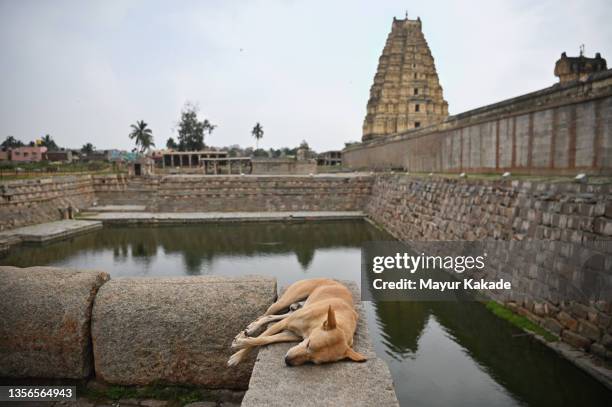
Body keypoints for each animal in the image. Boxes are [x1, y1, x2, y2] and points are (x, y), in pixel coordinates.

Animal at [227, 278, 366, 368]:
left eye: (315, 362)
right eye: (309, 344)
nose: (287, 361)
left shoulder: (292, 334)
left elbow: (266, 339)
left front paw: (240, 347)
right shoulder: (285, 324)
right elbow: (260, 338)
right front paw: (237, 355)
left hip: (294, 311)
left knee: (270, 316)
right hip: (284, 301)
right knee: (264, 315)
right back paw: (249, 329)